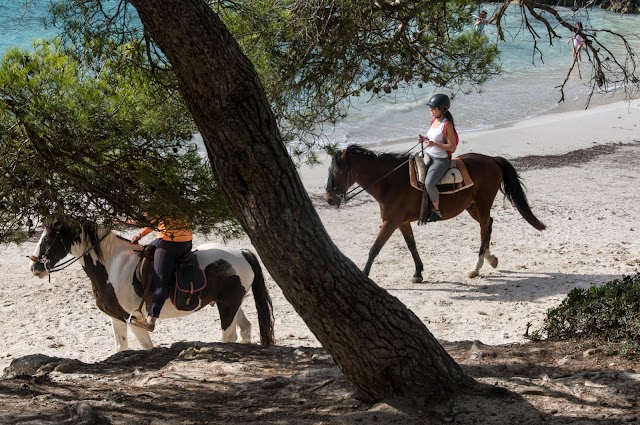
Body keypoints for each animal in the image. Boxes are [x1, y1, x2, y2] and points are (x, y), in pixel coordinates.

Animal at [28, 220, 274, 350]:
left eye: (48, 238)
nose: (34, 267)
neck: (112, 266)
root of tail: (242, 252)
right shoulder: (116, 317)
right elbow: (122, 347)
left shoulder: (135, 320)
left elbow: (147, 347)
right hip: (231, 304)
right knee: (245, 328)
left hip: (227, 306)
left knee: (229, 336)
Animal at [324, 145, 544, 282]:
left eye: (337, 171)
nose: (329, 198)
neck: (390, 182)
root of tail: (492, 160)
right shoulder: (401, 222)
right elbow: (411, 246)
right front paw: (418, 273)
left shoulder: (391, 222)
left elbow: (374, 249)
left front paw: (364, 274)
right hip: (472, 206)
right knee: (488, 224)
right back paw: (491, 259)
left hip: (483, 203)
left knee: (483, 230)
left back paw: (476, 267)